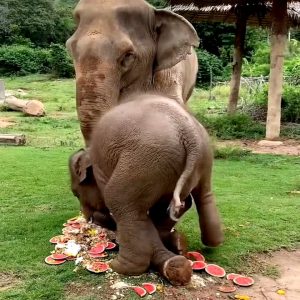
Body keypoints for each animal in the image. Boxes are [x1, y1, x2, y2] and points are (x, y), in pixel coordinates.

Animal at [70, 92, 221, 284]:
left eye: (76, 193)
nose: (88, 220)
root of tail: (189, 132)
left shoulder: (101, 168)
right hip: (199, 158)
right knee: (202, 196)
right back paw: (196, 249)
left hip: (147, 158)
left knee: (119, 200)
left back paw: (123, 266)